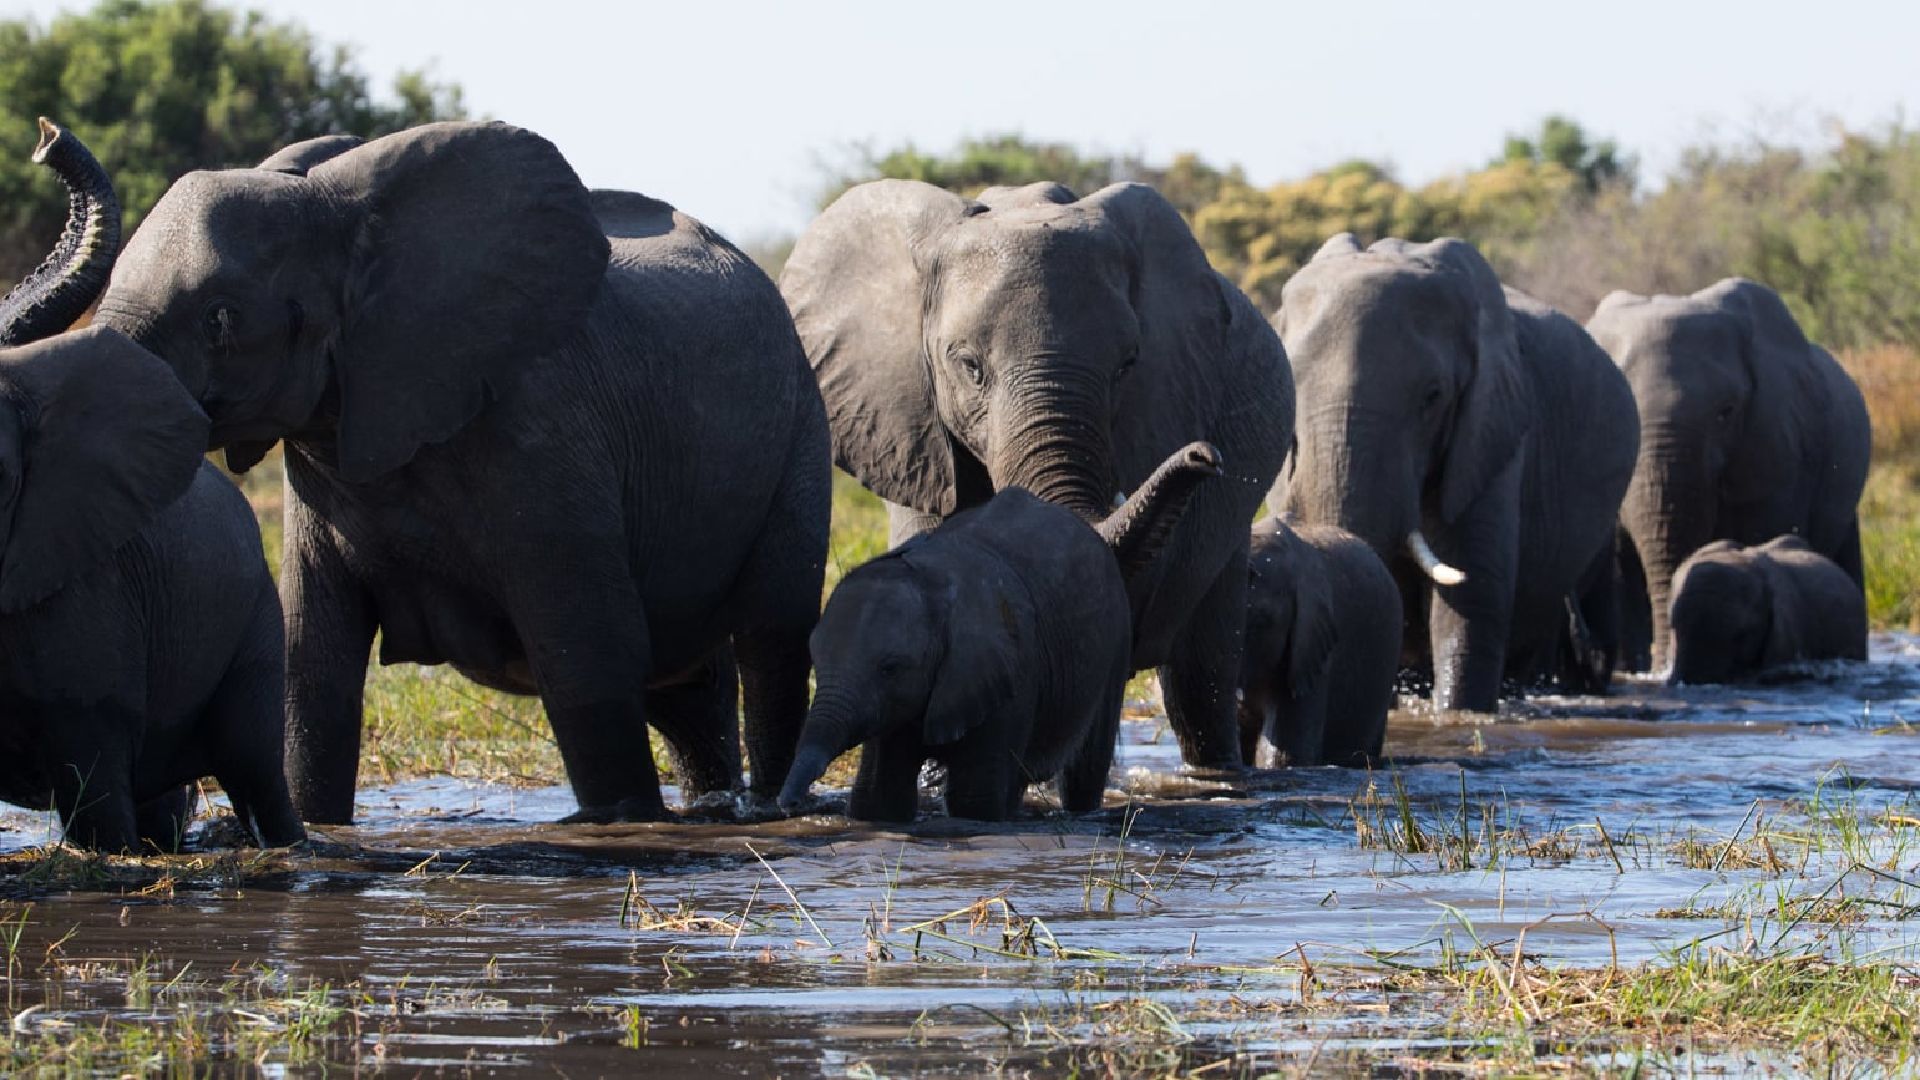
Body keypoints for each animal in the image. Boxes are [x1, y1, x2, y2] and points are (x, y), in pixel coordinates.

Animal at [95, 122, 831, 825]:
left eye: (220, 318)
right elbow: (313, 667)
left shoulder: (544, 426)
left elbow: (587, 654)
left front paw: (622, 822)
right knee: (686, 688)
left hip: (799, 426)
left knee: (771, 642)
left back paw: (771, 808)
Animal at [780, 443, 1223, 823]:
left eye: (890, 668)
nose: (790, 805)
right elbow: (878, 797)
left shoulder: (1010, 676)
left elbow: (973, 799)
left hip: (1111, 645)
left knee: (1084, 767)